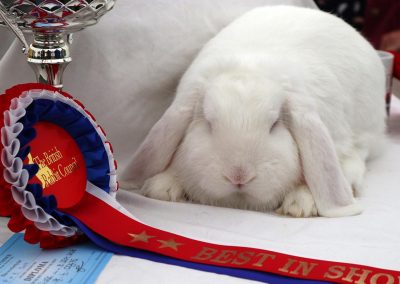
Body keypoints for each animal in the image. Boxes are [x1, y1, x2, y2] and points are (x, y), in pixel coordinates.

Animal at [120, 5, 386, 217]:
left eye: (275, 124)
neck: (248, 67)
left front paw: (300, 204)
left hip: (366, 127)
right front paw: (162, 187)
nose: (239, 176)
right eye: (208, 122)